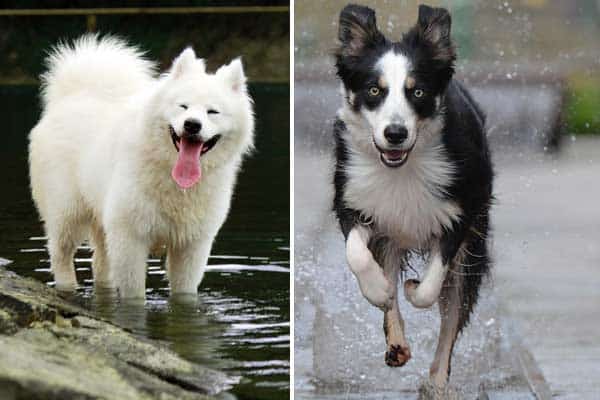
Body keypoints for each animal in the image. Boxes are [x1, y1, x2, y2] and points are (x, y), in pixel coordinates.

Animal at [28, 36, 253, 296]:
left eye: (213, 112)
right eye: (183, 106)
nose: (192, 125)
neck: (173, 179)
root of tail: (74, 94)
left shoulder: (192, 245)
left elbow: (184, 294)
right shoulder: (130, 239)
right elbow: (134, 295)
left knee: (100, 263)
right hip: (67, 212)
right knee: (61, 253)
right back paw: (67, 287)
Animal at [332, 3, 492, 390]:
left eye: (417, 93)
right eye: (374, 91)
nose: (395, 134)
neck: (400, 169)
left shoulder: (458, 215)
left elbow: (431, 286)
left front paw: (412, 287)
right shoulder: (354, 198)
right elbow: (357, 254)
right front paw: (379, 290)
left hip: (474, 247)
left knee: (452, 315)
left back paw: (436, 382)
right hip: (390, 236)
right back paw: (396, 342)